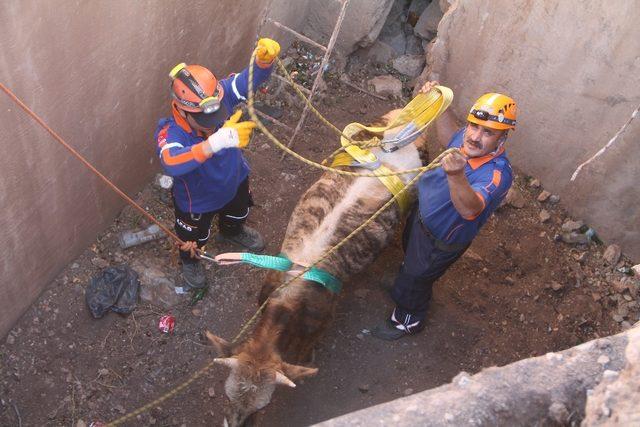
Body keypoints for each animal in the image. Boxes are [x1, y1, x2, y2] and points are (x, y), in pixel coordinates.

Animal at [208, 112, 432, 426]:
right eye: (228, 396)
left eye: (263, 406)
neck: (289, 294)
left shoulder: (322, 318)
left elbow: (303, 355)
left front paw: (306, 361)